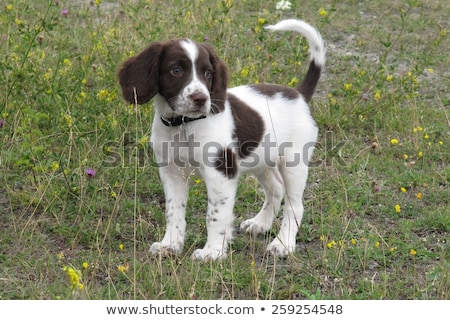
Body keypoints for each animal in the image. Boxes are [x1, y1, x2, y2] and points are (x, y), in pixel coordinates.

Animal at [118, 19, 326, 260]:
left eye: (208, 73)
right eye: (176, 71)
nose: (201, 98)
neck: (184, 125)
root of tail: (299, 94)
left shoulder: (221, 173)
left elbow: (215, 215)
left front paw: (213, 252)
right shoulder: (171, 171)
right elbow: (173, 211)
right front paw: (170, 244)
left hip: (294, 163)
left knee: (294, 205)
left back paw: (282, 245)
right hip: (261, 159)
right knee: (276, 188)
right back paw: (260, 224)